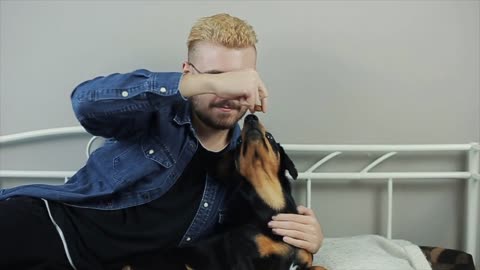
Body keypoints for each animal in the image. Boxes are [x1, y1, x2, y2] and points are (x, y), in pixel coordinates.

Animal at [123, 114, 326, 270]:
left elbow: (321, 266)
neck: (270, 202)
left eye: (270, 137)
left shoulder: (304, 263)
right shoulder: (244, 262)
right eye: (239, 141)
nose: (251, 117)